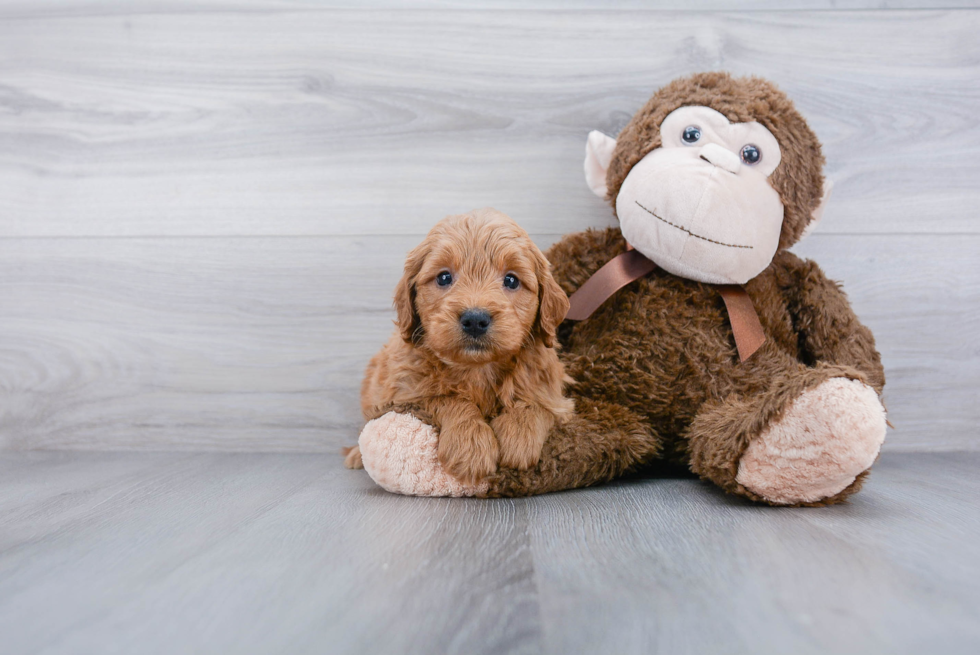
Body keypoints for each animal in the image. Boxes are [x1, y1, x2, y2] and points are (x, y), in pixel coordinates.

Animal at [344, 208, 576, 484]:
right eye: (444, 277)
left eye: (511, 280)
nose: (475, 319)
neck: (478, 369)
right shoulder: (404, 395)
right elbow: (446, 399)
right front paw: (470, 445)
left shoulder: (554, 395)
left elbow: (534, 402)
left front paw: (518, 436)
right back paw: (356, 455)